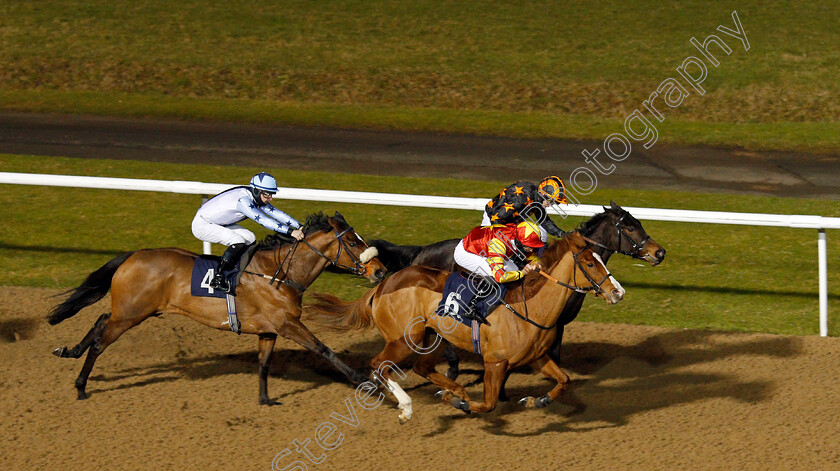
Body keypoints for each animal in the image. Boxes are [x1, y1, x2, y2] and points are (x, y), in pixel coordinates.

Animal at [52, 212, 390, 404]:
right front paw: (365, 382)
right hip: (132, 314)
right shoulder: (288, 324)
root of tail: (133, 255)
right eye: (354, 243)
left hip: (130, 311)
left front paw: (265, 399)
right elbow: (324, 349)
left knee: (100, 319)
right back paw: (81, 386)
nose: (380, 271)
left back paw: (69, 351)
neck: (279, 274)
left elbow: (264, 363)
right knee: (100, 340)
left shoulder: (269, 330)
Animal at [306, 234, 624, 422]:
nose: (618, 292)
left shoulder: (537, 357)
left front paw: (537, 400)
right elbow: (488, 404)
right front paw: (460, 403)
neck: (530, 307)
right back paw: (408, 406)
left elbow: (564, 380)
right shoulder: (495, 362)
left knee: (421, 367)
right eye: (589, 264)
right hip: (404, 339)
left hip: (431, 335)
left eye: (600, 259)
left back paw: (451, 390)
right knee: (379, 365)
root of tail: (383, 284)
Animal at [370, 201, 668, 390]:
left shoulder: (555, 323)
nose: (660, 252)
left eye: (639, 223)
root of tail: (419, 251)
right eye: (631, 228)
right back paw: (451, 368)